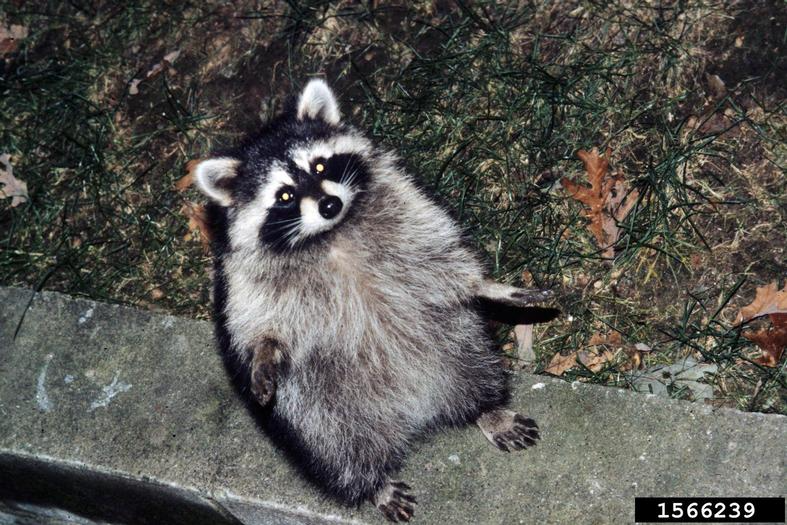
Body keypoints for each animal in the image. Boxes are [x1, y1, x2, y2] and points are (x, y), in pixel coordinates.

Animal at [194, 79, 556, 522]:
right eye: (285, 195)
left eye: (320, 167)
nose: (329, 204)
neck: (330, 236)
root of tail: (416, 410)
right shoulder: (243, 277)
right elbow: (260, 325)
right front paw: (265, 352)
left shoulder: (406, 203)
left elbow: (442, 259)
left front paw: (487, 286)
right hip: (317, 406)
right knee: (335, 448)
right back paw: (370, 483)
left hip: (454, 341)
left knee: (475, 366)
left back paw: (486, 408)